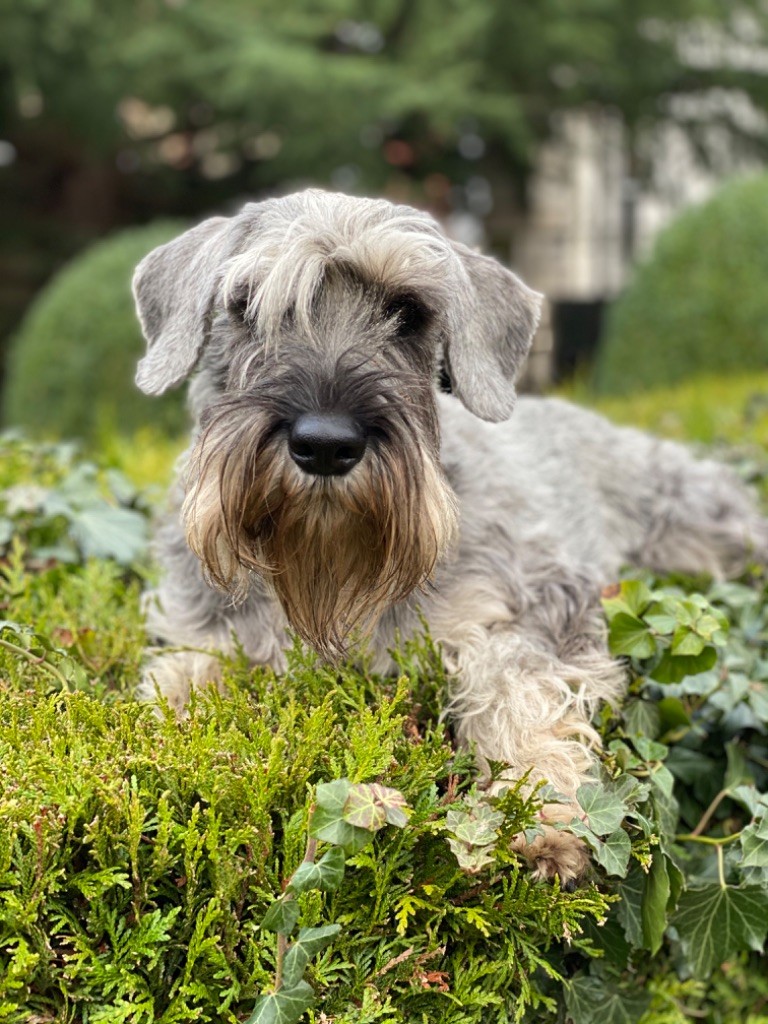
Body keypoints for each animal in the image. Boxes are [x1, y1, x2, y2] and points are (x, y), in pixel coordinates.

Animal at [134, 190, 768, 880]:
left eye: (409, 312)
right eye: (245, 306)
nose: (326, 445)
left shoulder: (545, 599)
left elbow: (515, 682)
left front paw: (541, 804)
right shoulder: (201, 636)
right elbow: (175, 686)